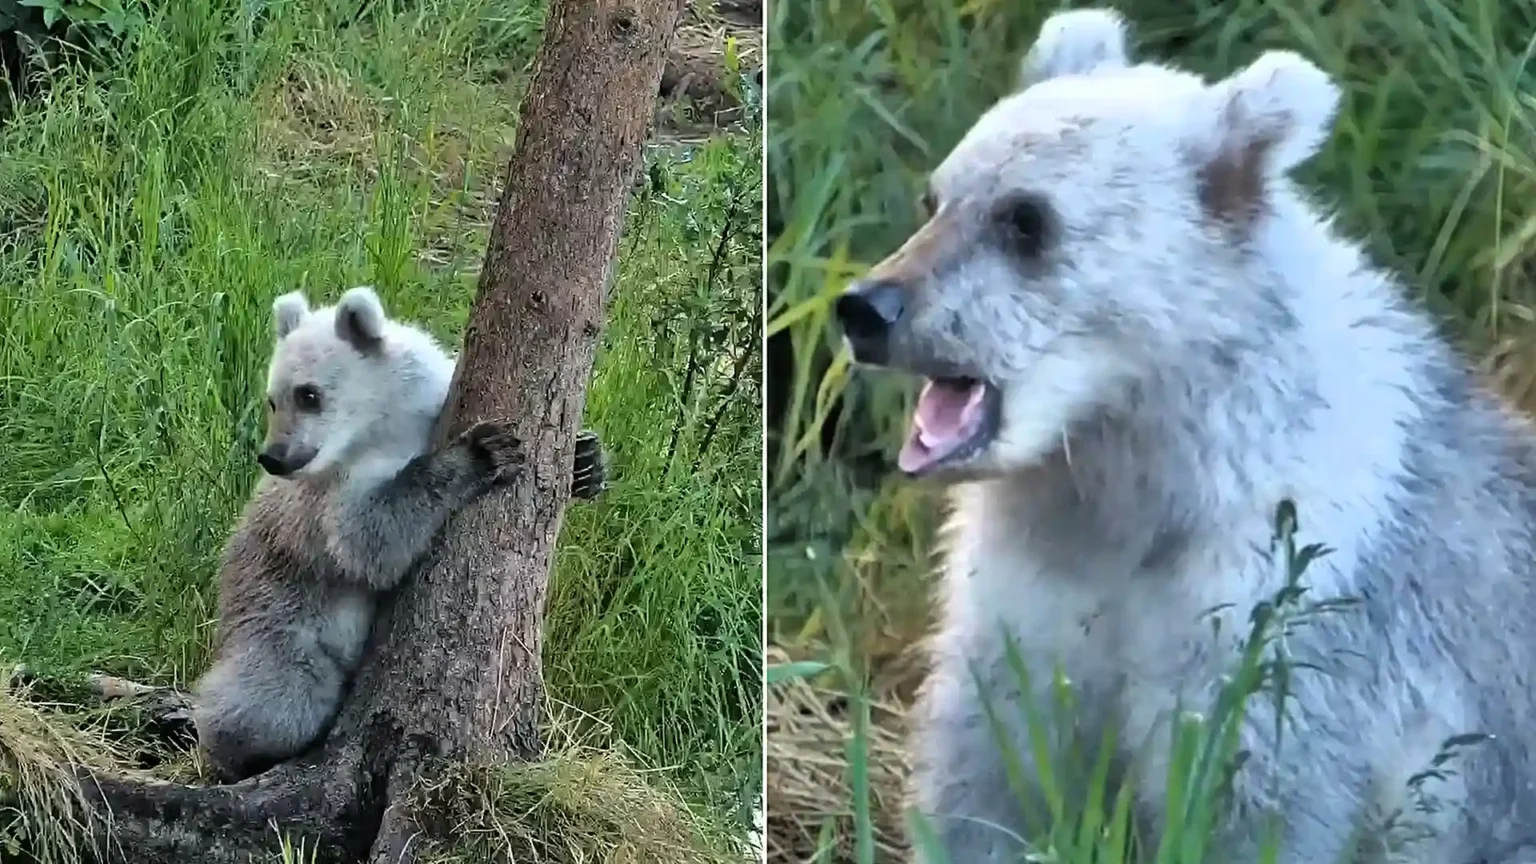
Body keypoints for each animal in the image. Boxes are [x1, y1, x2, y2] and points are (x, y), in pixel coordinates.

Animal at [193, 286, 606, 783]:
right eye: (273, 399)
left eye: (307, 394)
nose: (273, 456)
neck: (385, 421)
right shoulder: (338, 495)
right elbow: (372, 538)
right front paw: (481, 453)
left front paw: (586, 460)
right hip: (279, 621)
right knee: (279, 697)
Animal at [834, 9, 1536, 863]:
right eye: (936, 196)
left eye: (1027, 219)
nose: (869, 308)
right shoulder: (1027, 599)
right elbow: (993, 778)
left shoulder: (1281, 620)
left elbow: (1251, 797)